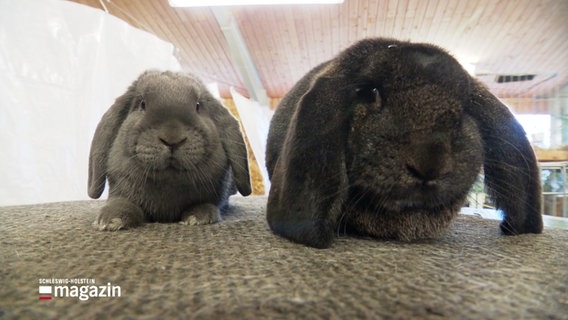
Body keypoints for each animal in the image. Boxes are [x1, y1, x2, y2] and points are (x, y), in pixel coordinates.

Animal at [89, 70, 251, 230]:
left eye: (198, 106)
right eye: (142, 104)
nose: (172, 140)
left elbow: (206, 204)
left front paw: (199, 217)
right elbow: (122, 203)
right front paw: (110, 220)